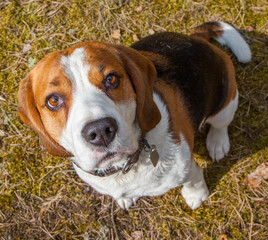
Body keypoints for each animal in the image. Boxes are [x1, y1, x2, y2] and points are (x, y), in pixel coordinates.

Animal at [18, 22, 251, 210]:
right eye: (53, 100)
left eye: (111, 79)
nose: (100, 131)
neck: (125, 167)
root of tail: (195, 38)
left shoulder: (186, 168)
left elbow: (194, 179)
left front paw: (196, 195)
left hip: (227, 102)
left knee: (220, 123)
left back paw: (217, 143)